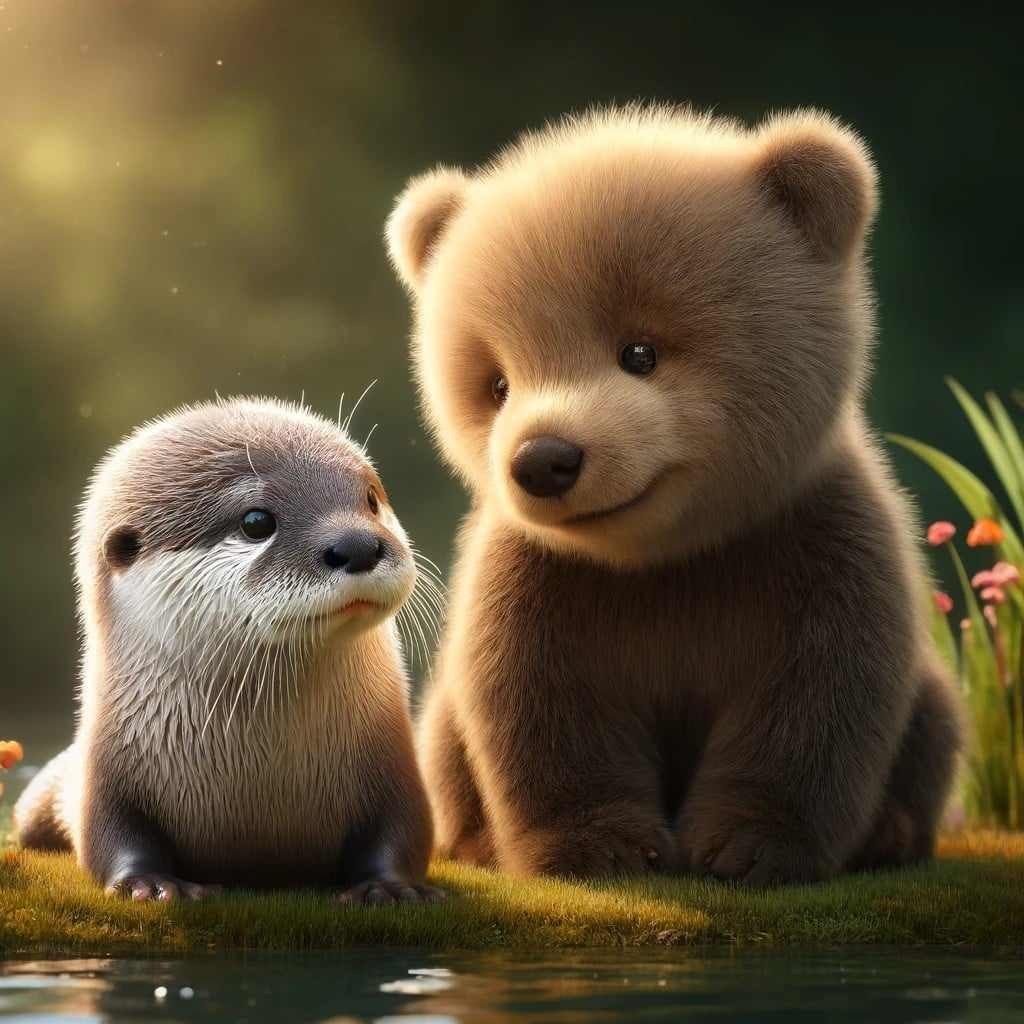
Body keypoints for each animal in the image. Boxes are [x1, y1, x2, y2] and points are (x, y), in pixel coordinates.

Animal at [15, 397, 442, 903]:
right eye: (256, 521)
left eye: (371, 499)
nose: (358, 544)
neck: (259, 769)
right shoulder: (107, 770)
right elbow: (111, 835)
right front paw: (150, 883)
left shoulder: (397, 768)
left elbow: (404, 831)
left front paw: (388, 887)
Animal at [386, 105, 963, 884]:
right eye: (498, 382)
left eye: (640, 352)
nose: (544, 461)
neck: (664, 558)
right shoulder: (542, 575)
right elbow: (541, 700)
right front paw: (603, 846)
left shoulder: (817, 538)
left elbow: (816, 697)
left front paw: (748, 845)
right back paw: (476, 842)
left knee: (932, 722)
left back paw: (889, 835)